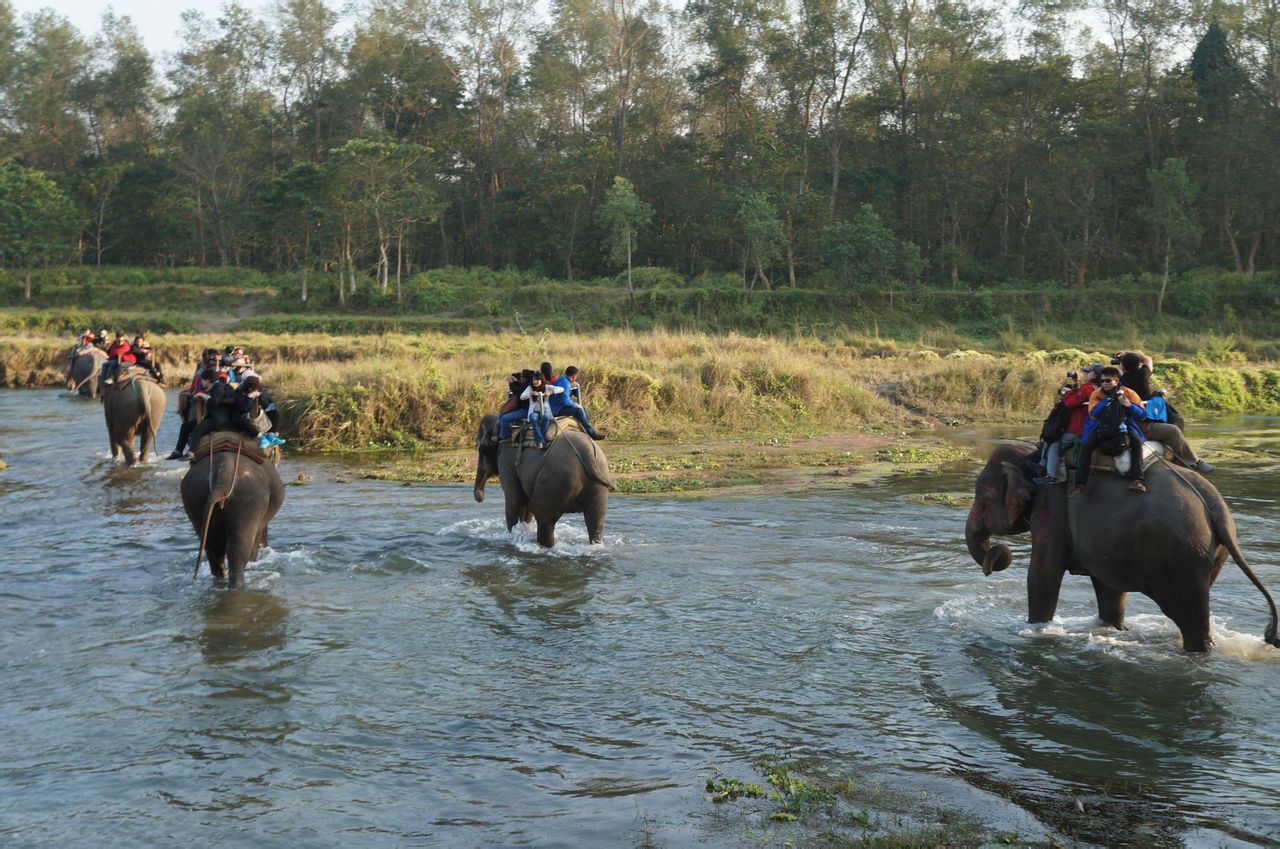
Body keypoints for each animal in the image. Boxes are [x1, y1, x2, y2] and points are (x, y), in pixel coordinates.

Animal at [181, 435, 284, 589]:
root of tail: (223, 473)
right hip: (249, 499)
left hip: (195, 497)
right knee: (239, 550)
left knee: (213, 549)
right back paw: (238, 586)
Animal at [476, 414, 614, 548]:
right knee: (596, 518)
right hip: (597, 484)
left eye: (481, 448)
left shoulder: (506, 461)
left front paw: (511, 538)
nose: (480, 496)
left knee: (543, 516)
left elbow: (515, 502)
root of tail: (587, 453)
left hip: (555, 481)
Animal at [967, 440, 1280, 653]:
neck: (1031, 457)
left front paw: (1034, 630)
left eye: (980, 495)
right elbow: (1110, 589)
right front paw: (1112, 630)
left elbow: (1043, 576)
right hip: (1209, 555)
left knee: (1191, 620)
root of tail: (1217, 509)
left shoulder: (1051, 510)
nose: (995, 560)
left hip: (1180, 556)